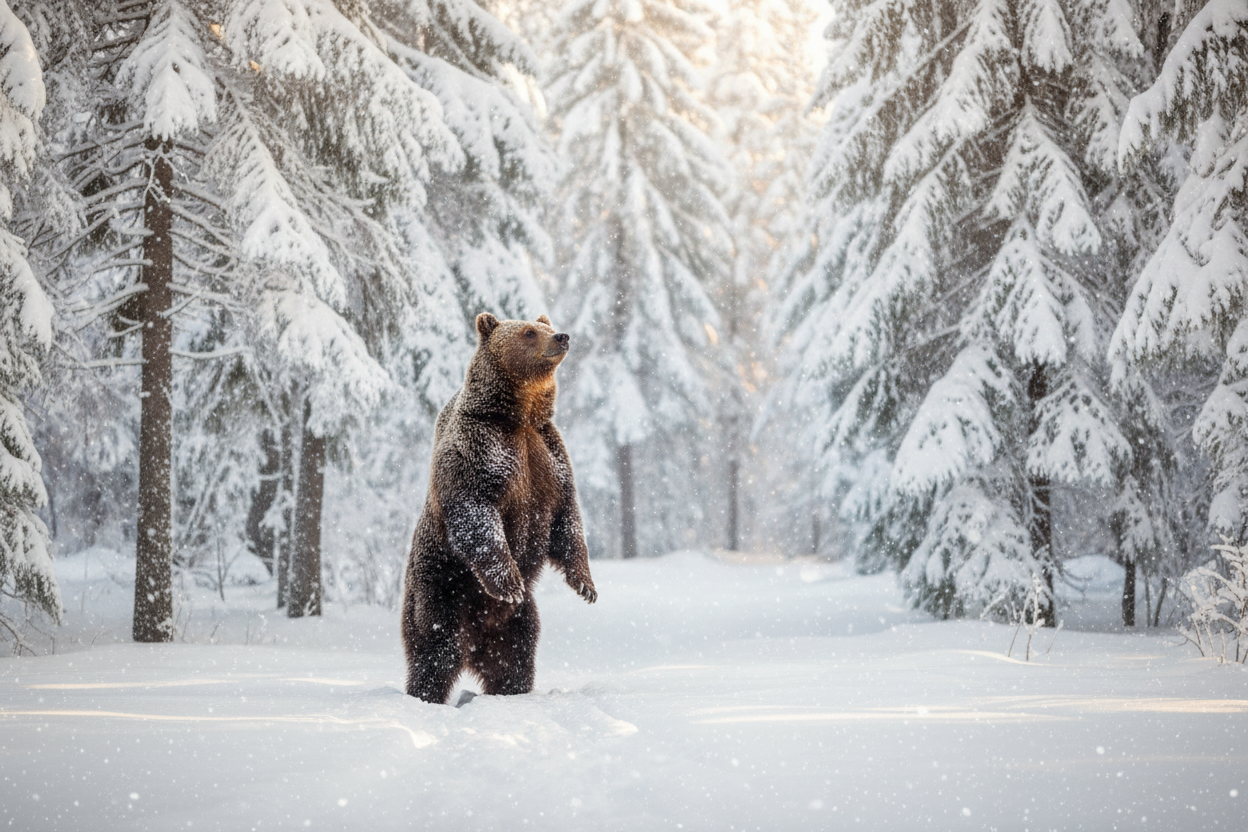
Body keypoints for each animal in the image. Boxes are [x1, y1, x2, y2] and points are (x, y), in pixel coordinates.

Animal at [401, 312, 597, 704]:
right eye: (529, 332)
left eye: (547, 325)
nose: (562, 337)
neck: (520, 416)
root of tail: (476, 638)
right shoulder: (480, 451)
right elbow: (476, 512)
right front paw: (508, 581)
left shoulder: (550, 456)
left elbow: (566, 518)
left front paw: (586, 585)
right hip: (440, 588)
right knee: (436, 650)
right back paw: (424, 696)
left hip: (516, 619)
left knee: (515, 656)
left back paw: (510, 693)